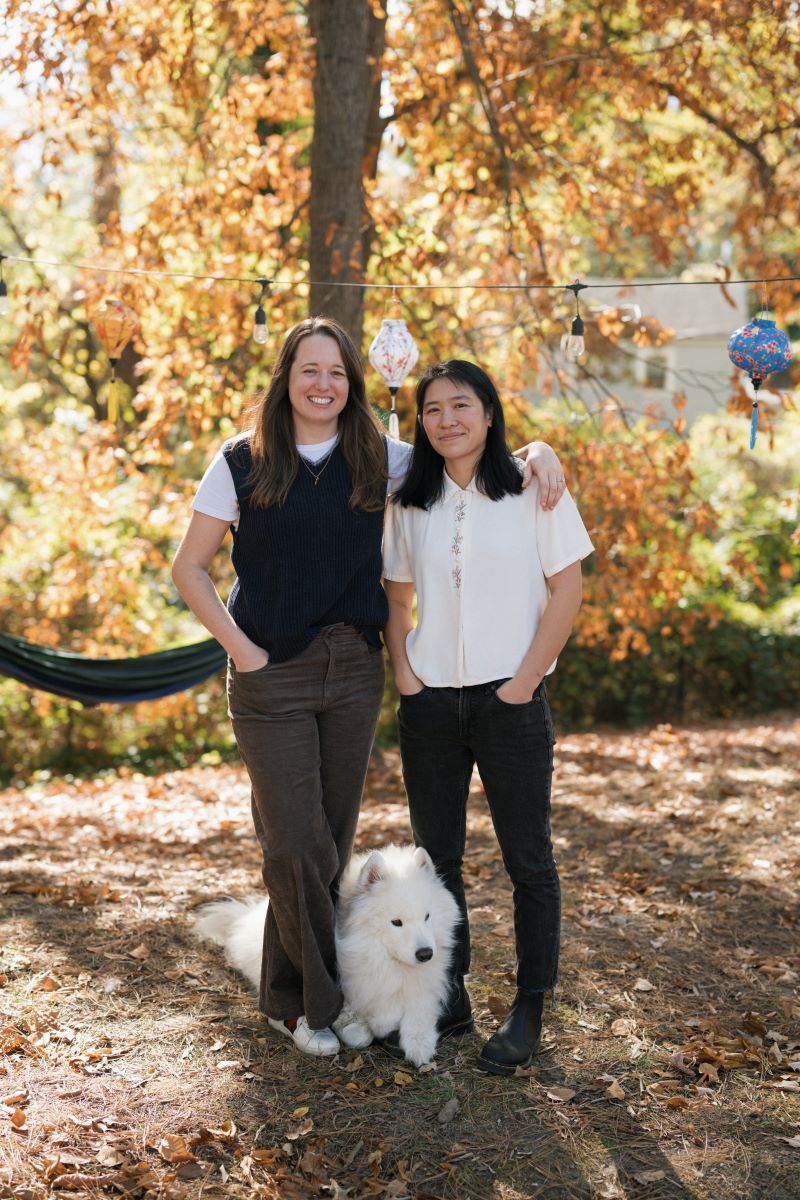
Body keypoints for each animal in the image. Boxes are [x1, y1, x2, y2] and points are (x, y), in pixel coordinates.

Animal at [195, 844, 462, 1070]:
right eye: (396, 922)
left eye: (427, 916)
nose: (426, 954)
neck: (384, 958)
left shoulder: (425, 984)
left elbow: (419, 1009)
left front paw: (419, 1045)